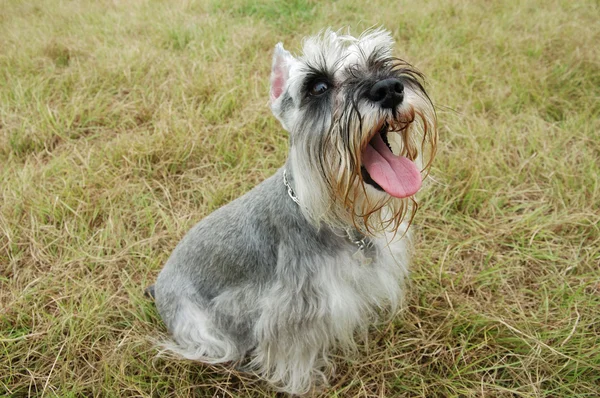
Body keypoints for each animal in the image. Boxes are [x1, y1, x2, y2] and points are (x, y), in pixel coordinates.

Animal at [146, 28, 436, 394]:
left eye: (379, 60)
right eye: (318, 86)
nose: (388, 89)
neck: (328, 215)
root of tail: (158, 287)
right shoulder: (292, 312)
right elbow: (294, 356)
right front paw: (304, 385)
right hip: (202, 328)